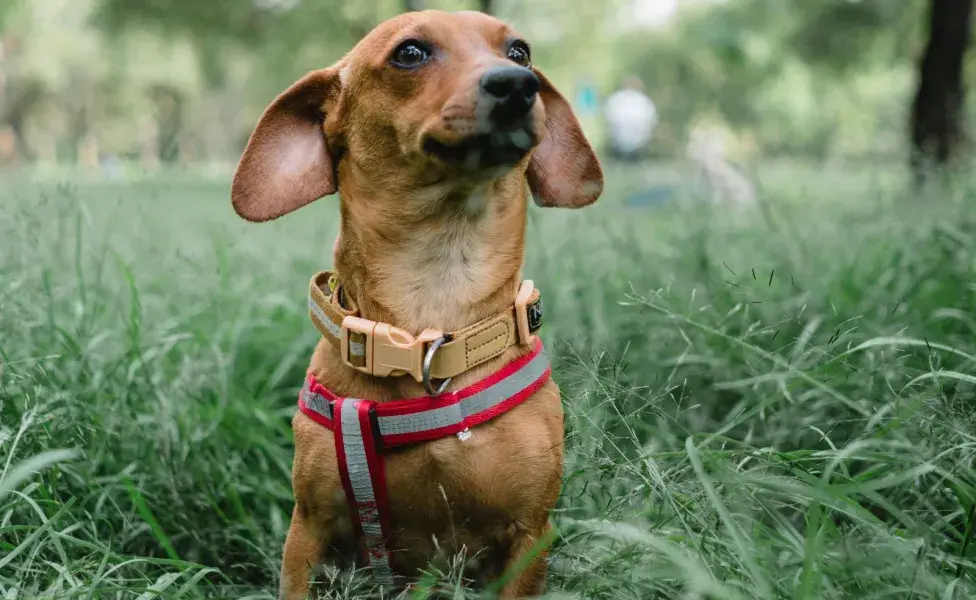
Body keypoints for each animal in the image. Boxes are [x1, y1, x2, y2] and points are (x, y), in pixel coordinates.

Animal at [232, 10, 604, 600]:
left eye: (520, 51)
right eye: (410, 53)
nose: (517, 83)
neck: (432, 317)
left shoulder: (530, 536)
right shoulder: (307, 530)